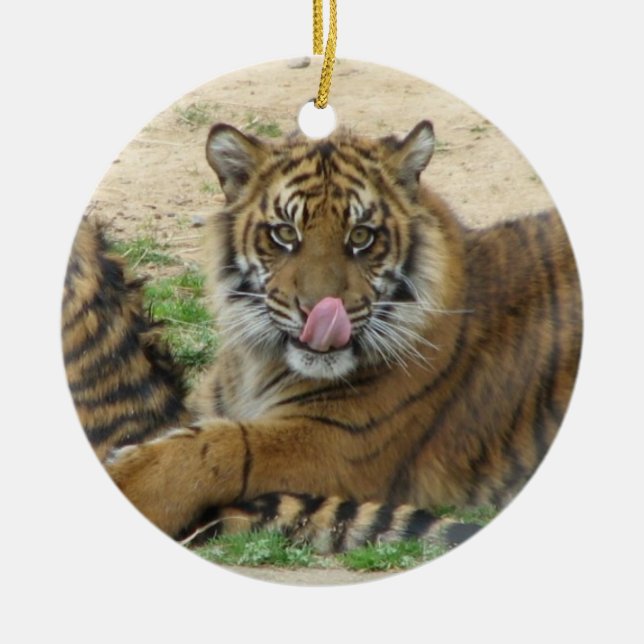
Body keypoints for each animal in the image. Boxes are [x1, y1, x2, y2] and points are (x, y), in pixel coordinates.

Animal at [63, 120, 582, 553]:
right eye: (284, 233)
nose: (319, 312)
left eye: (362, 237)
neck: (260, 364)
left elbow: (224, 447)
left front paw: (130, 479)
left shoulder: (339, 443)